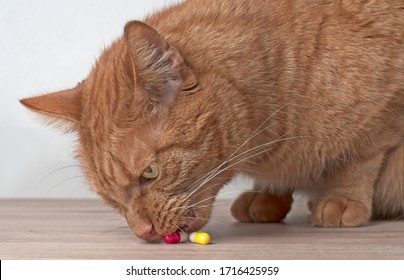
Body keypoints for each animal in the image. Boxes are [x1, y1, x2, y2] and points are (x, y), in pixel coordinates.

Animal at [21, 0, 404, 242]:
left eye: (150, 173)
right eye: (109, 197)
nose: (142, 232)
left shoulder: (384, 117)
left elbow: (358, 161)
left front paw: (342, 198)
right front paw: (266, 196)